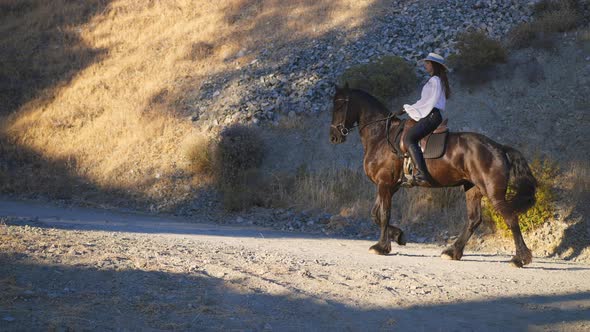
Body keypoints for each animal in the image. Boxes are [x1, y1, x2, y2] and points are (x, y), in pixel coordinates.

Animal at [330, 85, 540, 268]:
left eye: (339, 105)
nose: (334, 137)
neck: (381, 135)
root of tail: (499, 148)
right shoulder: (389, 186)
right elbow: (375, 214)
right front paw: (398, 236)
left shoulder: (384, 184)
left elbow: (383, 214)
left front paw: (381, 247)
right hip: (472, 188)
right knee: (474, 219)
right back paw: (453, 251)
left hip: (492, 192)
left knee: (510, 218)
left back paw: (519, 259)